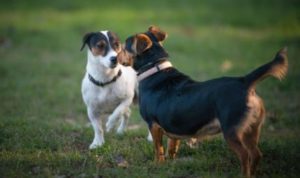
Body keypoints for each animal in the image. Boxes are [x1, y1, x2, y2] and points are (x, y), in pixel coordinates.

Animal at [118, 25, 288, 177]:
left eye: (124, 47)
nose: (115, 58)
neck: (155, 68)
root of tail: (244, 81)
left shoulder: (154, 125)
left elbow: (157, 149)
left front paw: (157, 165)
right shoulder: (173, 128)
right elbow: (171, 148)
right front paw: (169, 165)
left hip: (232, 131)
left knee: (245, 155)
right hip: (251, 129)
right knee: (256, 154)